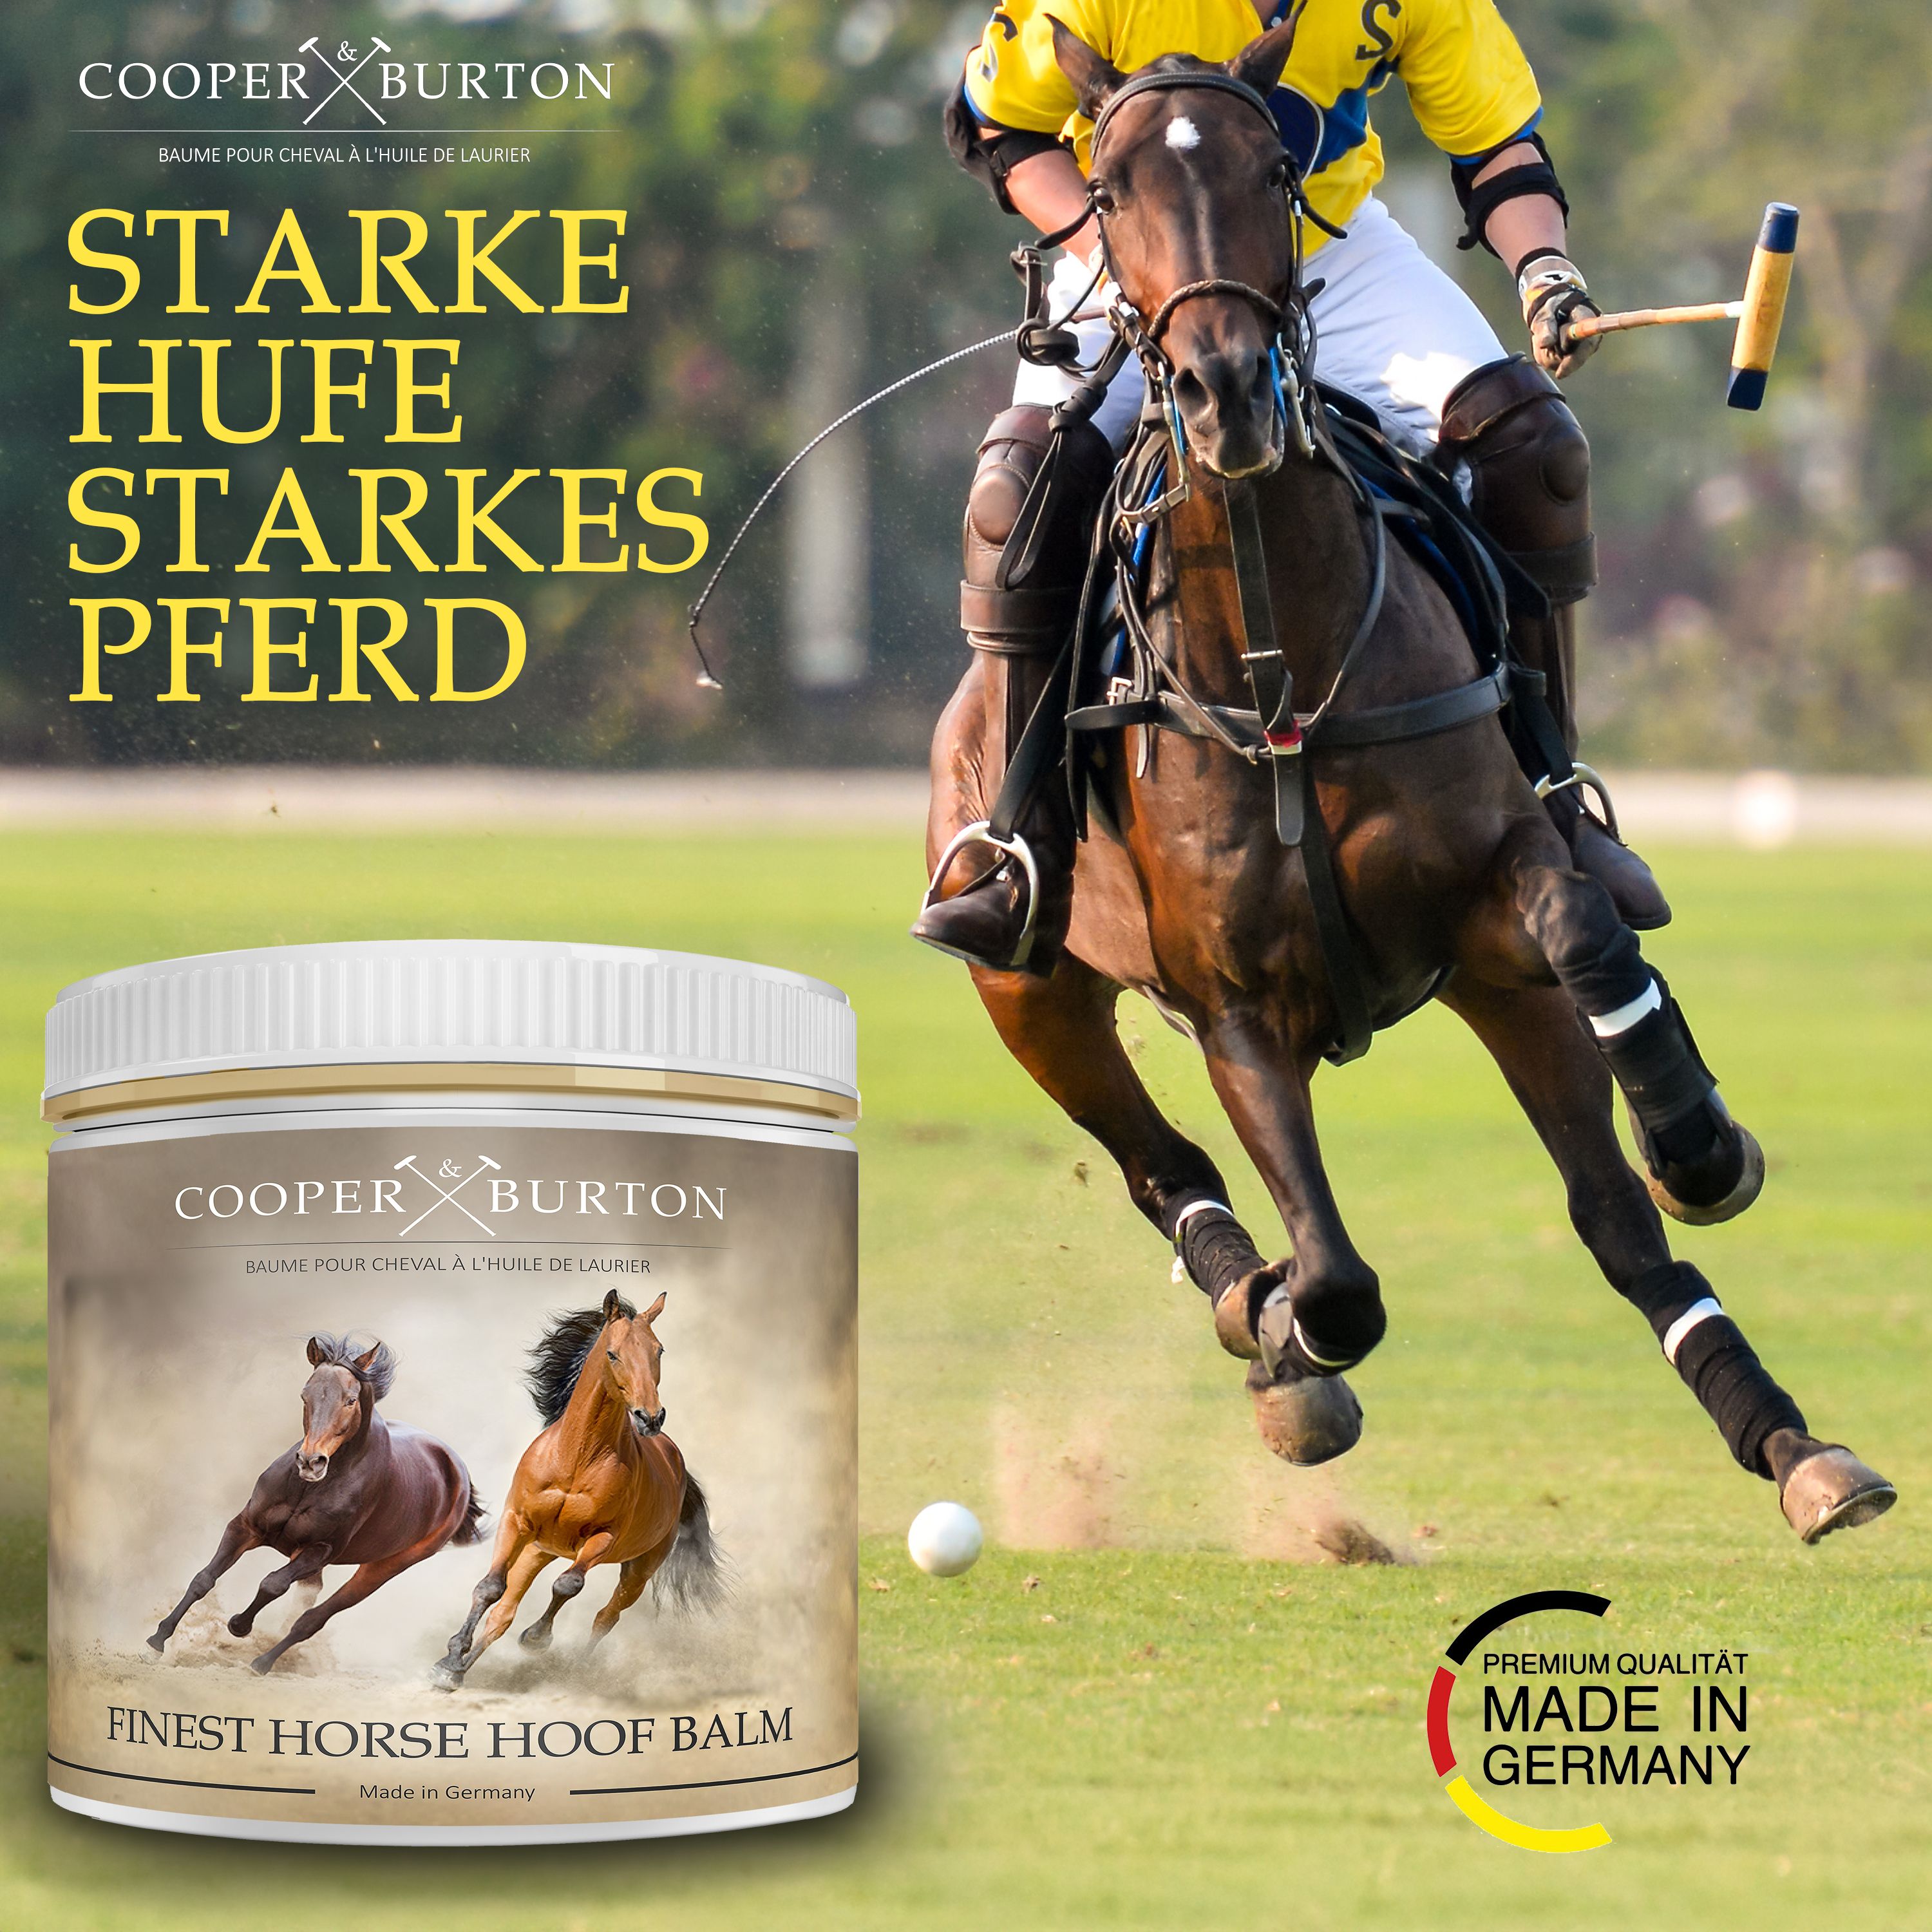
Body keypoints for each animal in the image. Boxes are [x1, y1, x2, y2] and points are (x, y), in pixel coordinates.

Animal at [148, 1335, 484, 1674]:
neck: (309, 1488)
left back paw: (263, 1662)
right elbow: (204, 1579)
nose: (311, 1461)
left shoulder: (320, 1550)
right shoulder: (246, 1526)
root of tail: (458, 1473)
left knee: (312, 1619)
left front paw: (240, 1625)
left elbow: (272, 1584)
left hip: (384, 1567)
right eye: (305, 1394)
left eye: (351, 1400)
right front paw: (156, 1642)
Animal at [434, 1290, 723, 1689]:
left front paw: (536, 1638)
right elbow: (490, 1588)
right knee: (505, 1611)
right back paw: (462, 1666)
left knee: (606, 1616)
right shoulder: (517, 1522)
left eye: (659, 1351)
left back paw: (577, 1668)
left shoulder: (604, 1538)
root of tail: (674, 1459)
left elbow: (567, 1585)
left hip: (640, 1567)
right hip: (540, 1549)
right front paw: (449, 1662)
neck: (576, 1458)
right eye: (612, 1353)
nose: (650, 1418)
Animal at [921, 18, 1894, 1543]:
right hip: (1029, 989)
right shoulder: (1234, 1009)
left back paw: (1793, 1440)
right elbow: (1334, 1285)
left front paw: (1700, 1140)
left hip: (1491, 986)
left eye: (1276, 165)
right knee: (1163, 1165)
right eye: (1112, 188)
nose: (1223, 389)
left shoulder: (1500, 900)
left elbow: (1584, 941)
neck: (1283, 666)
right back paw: (1248, 1308)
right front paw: (1282, 1342)